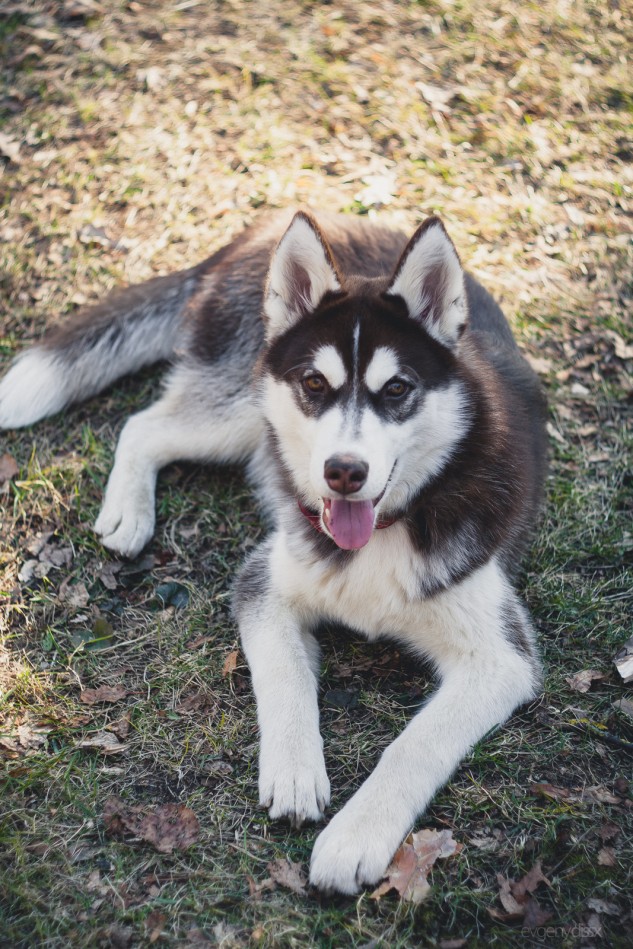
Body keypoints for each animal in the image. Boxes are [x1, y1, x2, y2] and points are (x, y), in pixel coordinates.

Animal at [0, 210, 547, 894]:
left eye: (398, 389)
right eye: (315, 383)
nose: (343, 471)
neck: (382, 533)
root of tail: (251, 232)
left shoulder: (500, 659)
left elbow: (416, 743)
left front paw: (355, 837)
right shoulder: (265, 580)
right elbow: (284, 678)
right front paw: (294, 772)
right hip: (242, 404)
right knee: (144, 424)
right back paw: (130, 511)